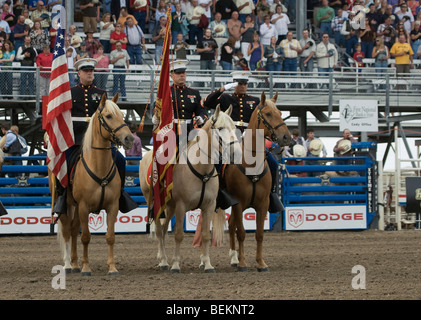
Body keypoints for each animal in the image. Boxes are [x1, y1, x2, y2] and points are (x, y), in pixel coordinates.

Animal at [56, 94, 133, 276]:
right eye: (109, 116)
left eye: (122, 115)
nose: (129, 138)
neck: (99, 167)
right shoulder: (84, 206)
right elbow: (86, 237)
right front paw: (86, 268)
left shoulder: (112, 207)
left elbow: (110, 236)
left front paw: (112, 267)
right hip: (65, 204)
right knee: (67, 231)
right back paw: (68, 265)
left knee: (74, 229)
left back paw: (75, 264)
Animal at [139, 105, 241, 272]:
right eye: (220, 128)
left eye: (234, 127)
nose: (236, 153)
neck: (201, 169)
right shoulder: (181, 206)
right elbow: (179, 235)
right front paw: (175, 265)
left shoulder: (209, 206)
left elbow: (205, 235)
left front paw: (207, 264)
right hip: (157, 203)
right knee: (160, 231)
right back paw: (163, 261)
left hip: (170, 207)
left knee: (163, 229)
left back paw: (163, 259)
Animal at [223, 91, 288, 272]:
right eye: (268, 114)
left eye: (281, 113)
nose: (286, 137)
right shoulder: (238, 203)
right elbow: (242, 233)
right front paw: (243, 263)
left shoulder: (263, 204)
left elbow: (259, 234)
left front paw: (261, 263)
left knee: (231, 224)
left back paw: (234, 258)